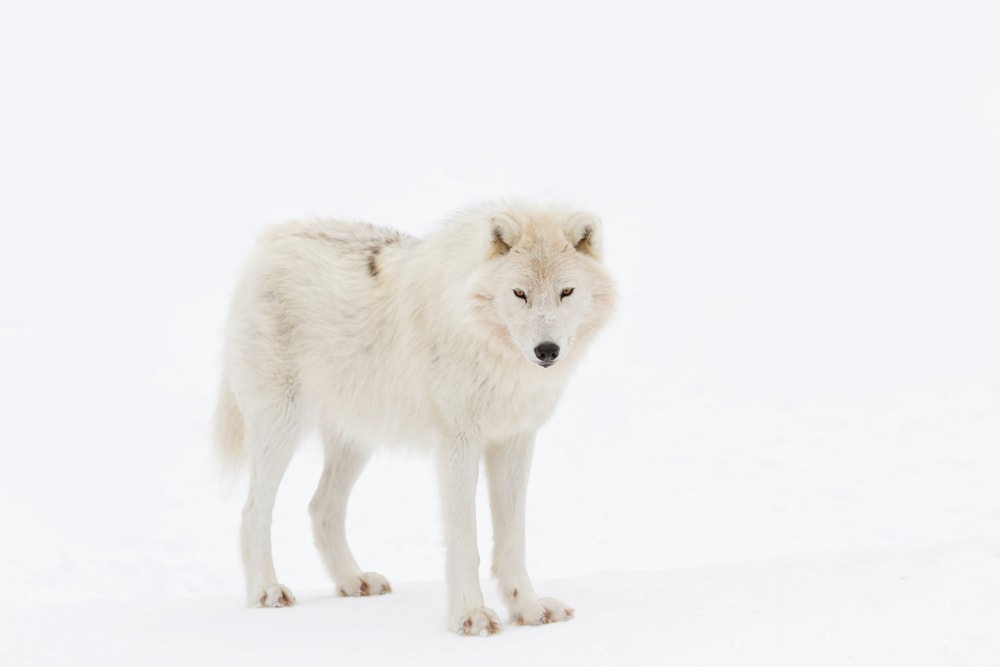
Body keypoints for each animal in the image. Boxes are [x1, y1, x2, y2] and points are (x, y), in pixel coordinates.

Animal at [213, 200, 615, 635]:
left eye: (566, 292)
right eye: (520, 293)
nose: (547, 350)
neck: (491, 348)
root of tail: (272, 238)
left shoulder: (515, 441)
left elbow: (513, 540)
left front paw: (528, 609)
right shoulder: (458, 443)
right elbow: (464, 539)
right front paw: (470, 615)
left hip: (357, 439)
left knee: (322, 508)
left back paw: (353, 581)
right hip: (280, 428)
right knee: (253, 512)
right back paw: (266, 591)